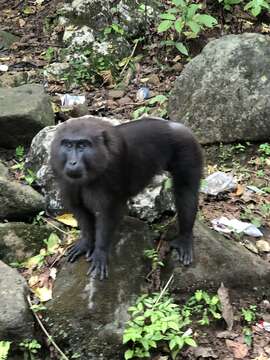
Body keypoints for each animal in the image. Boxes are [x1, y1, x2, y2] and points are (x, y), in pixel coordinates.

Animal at [50, 116, 202, 280]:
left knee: (186, 191)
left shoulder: (112, 170)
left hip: (188, 146)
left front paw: (101, 250)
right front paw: (86, 242)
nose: (72, 162)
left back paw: (185, 236)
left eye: (82, 145)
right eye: (68, 145)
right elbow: (79, 208)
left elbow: (107, 213)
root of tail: (176, 125)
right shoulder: (61, 172)